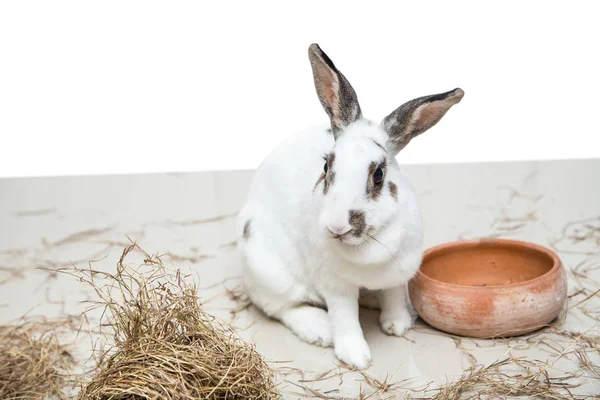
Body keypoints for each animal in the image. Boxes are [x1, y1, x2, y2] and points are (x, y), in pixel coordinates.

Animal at [237, 43, 462, 368]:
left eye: (378, 174)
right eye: (326, 165)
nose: (337, 226)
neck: (369, 245)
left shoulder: (399, 273)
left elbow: (394, 296)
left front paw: (397, 324)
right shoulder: (336, 286)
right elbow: (345, 318)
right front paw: (356, 357)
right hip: (267, 266)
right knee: (282, 307)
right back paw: (319, 329)